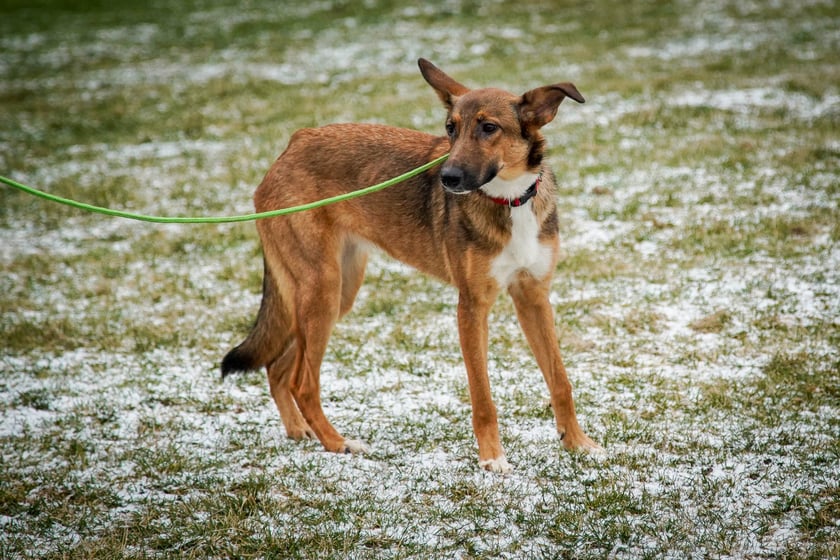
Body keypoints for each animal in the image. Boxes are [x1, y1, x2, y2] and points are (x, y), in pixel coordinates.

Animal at [221, 58, 596, 472]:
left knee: (279, 370)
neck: (509, 199)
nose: (447, 178)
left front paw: (577, 443)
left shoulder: (533, 297)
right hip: (321, 290)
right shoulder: (471, 308)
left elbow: (560, 381)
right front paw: (492, 459)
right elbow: (482, 397)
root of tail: (294, 143)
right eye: (450, 128)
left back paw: (298, 430)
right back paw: (337, 443)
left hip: (335, 292)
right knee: (303, 382)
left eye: (488, 128)